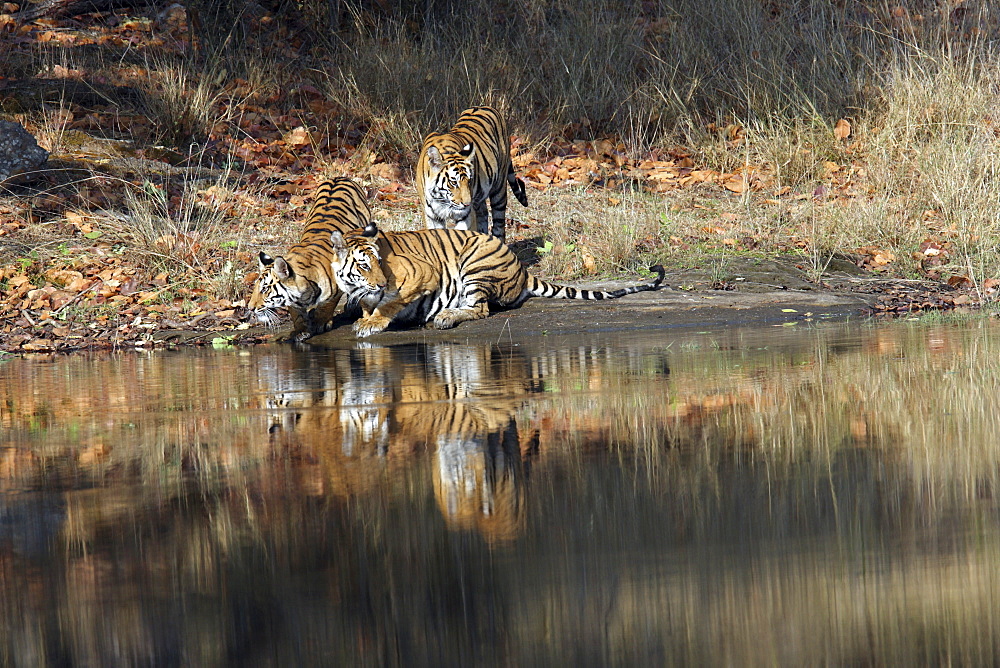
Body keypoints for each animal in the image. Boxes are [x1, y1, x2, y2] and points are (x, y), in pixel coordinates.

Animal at [248, 177, 374, 340]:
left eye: (264, 289)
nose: (250, 308)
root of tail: (339, 177)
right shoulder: (293, 302)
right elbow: (297, 315)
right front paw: (301, 330)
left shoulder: (334, 291)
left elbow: (326, 306)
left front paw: (321, 323)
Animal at [332, 223, 668, 340]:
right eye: (363, 265)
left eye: (378, 262)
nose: (379, 284)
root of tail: (521, 268)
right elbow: (369, 304)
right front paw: (365, 315)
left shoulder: (421, 274)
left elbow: (389, 304)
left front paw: (371, 323)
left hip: (474, 264)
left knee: (479, 309)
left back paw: (445, 317)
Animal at [414, 108, 528, 244]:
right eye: (453, 182)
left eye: (469, 181)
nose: (467, 204)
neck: (441, 199)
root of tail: (485, 107)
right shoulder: (432, 216)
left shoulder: (465, 215)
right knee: (483, 213)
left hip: (499, 189)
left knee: (499, 223)